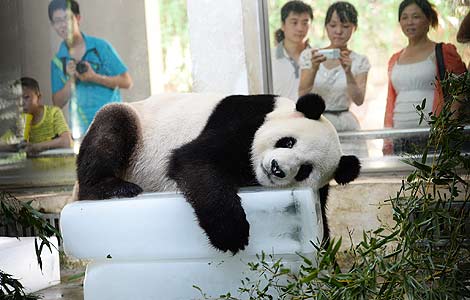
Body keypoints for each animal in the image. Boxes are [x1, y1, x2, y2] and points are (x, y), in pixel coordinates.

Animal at [76, 93, 360, 253]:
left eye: (304, 170)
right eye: (288, 142)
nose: (277, 168)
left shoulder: (319, 189)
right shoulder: (244, 122)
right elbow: (195, 161)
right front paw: (231, 234)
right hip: (137, 128)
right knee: (111, 127)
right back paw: (111, 187)